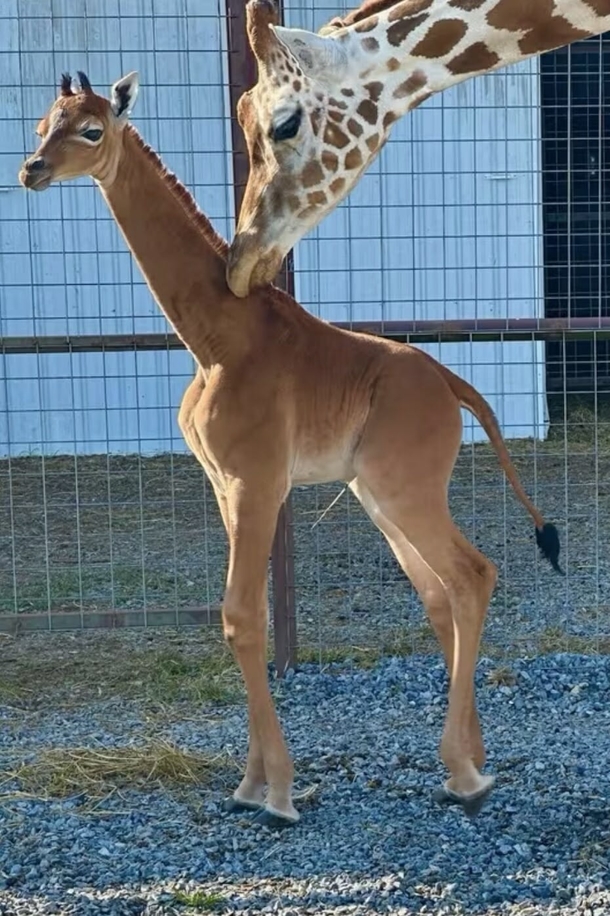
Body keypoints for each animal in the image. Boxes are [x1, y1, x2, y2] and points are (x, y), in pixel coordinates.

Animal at [20, 70, 562, 826]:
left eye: (92, 130)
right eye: (43, 124)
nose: (31, 170)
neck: (215, 338)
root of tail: (454, 385)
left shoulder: (258, 481)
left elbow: (242, 616)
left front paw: (275, 792)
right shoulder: (225, 485)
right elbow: (244, 618)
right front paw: (251, 784)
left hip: (405, 488)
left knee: (471, 574)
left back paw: (463, 774)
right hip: (377, 494)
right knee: (439, 590)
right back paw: (473, 760)